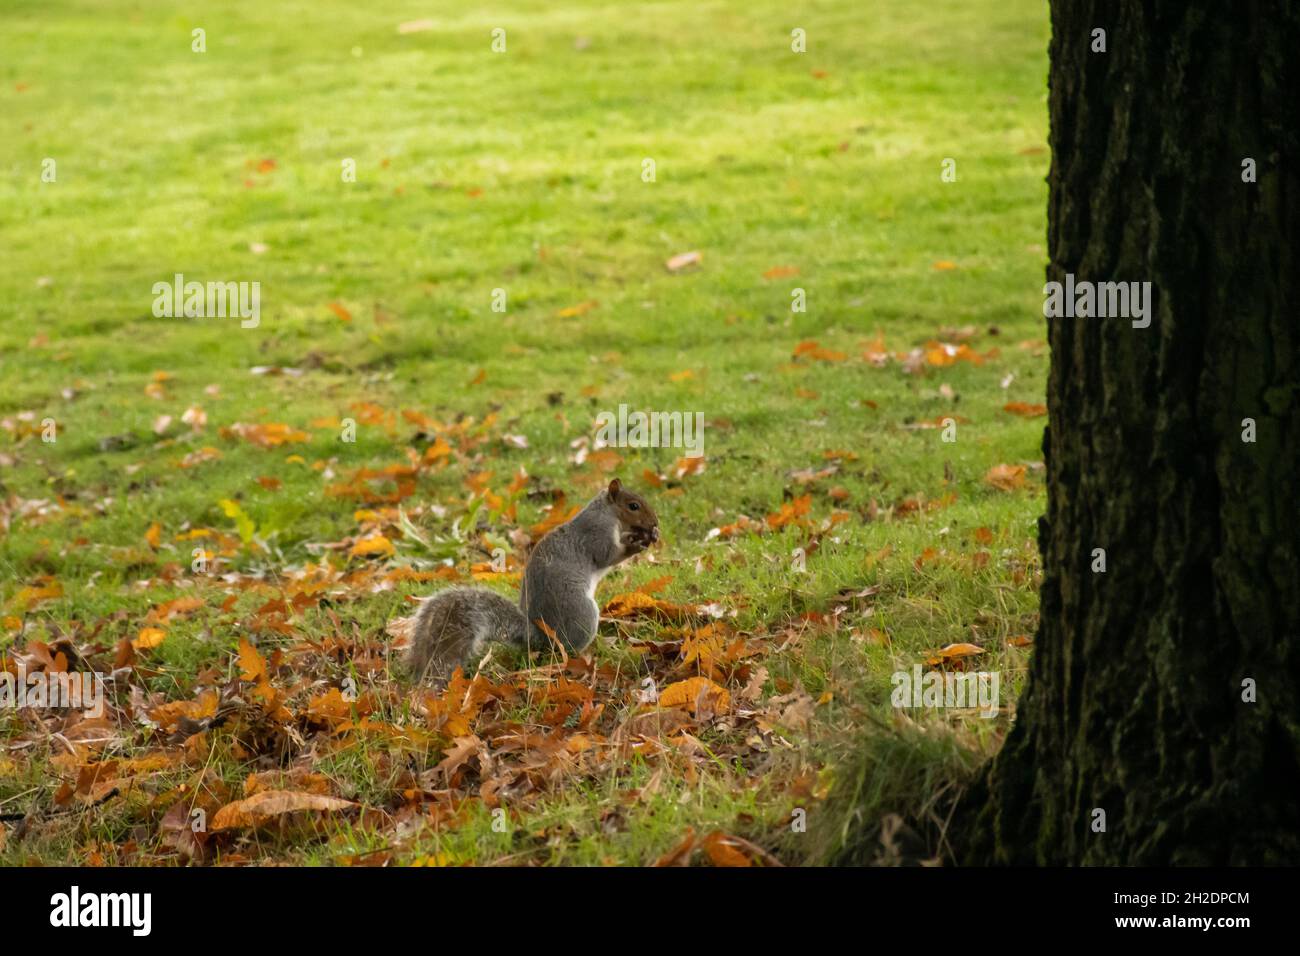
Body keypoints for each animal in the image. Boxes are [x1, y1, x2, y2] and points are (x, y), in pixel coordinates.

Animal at [403, 478, 660, 684]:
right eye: (633, 506)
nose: (655, 523)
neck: (607, 513)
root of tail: (543, 639)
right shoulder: (596, 534)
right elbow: (609, 555)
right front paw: (638, 543)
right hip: (583, 615)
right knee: (568, 651)